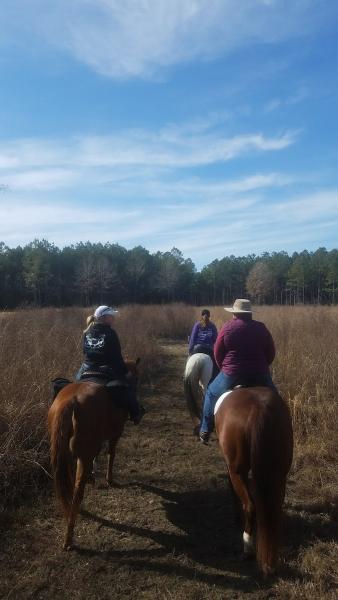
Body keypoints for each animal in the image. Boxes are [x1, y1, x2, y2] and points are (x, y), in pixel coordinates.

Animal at [46, 358, 139, 552]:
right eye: (136, 377)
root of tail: (71, 402)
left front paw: (93, 476)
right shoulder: (115, 435)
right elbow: (111, 454)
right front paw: (109, 479)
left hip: (65, 454)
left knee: (67, 484)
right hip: (82, 456)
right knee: (77, 491)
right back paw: (69, 538)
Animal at [215, 386, 292, 576]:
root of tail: (259, 409)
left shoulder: (230, 466)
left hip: (238, 471)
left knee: (250, 506)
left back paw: (247, 548)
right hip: (279, 473)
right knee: (274, 506)